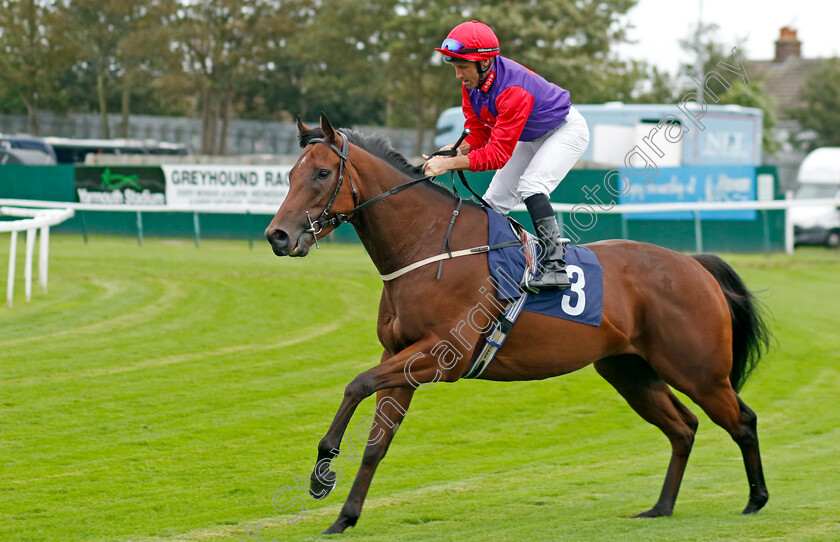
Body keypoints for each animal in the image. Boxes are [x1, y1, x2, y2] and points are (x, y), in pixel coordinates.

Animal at [262, 115, 768, 536]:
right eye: (288, 175)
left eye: (321, 173)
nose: (277, 236)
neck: (428, 245)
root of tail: (693, 264)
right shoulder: (402, 356)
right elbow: (375, 442)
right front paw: (343, 516)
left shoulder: (441, 356)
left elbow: (357, 384)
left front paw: (323, 470)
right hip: (630, 372)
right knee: (684, 427)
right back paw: (661, 507)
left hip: (698, 371)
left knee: (742, 419)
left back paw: (756, 499)